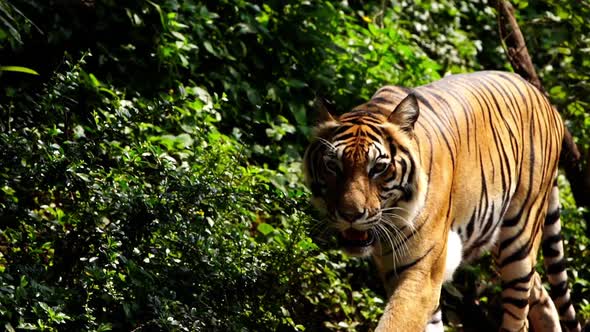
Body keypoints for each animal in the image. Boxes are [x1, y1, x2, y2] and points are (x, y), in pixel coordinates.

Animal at [306, 71, 584, 330]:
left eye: (378, 168)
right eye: (333, 166)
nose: (350, 215)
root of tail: (548, 103)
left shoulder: (421, 272)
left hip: (520, 239)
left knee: (520, 314)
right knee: (543, 296)